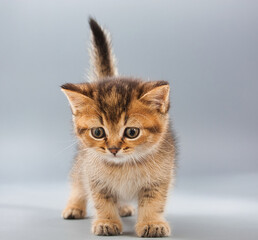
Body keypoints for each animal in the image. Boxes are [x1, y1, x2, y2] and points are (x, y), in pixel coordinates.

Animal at [61, 17, 176, 237]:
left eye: (132, 132)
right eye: (98, 132)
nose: (113, 149)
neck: (125, 166)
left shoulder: (159, 178)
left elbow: (153, 203)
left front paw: (152, 223)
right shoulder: (94, 176)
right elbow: (102, 201)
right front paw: (107, 222)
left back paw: (123, 207)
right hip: (81, 162)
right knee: (77, 182)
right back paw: (74, 207)